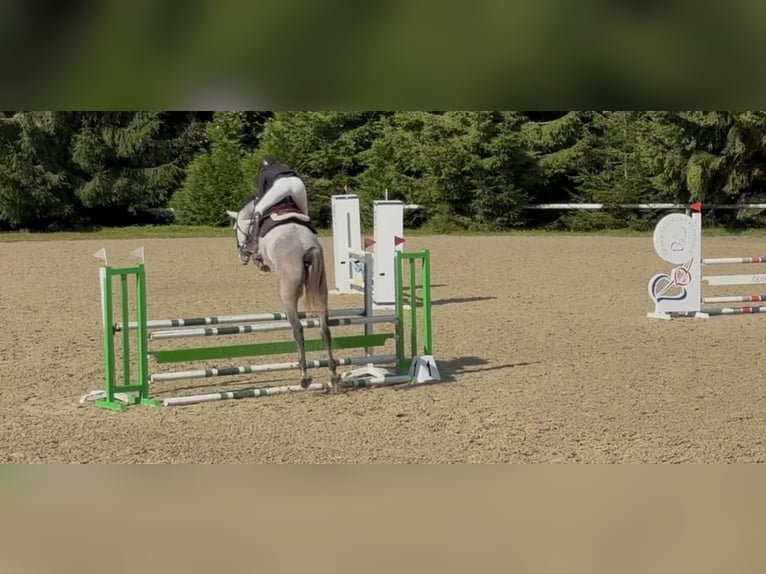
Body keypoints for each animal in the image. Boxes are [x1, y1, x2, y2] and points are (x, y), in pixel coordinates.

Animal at [226, 198, 341, 393]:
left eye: (236, 229)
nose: (241, 256)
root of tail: (306, 246)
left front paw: (259, 264)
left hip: (288, 297)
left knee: (298, 329)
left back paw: (304, 376)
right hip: (322, 294)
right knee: (325, 330)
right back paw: (333, 375)